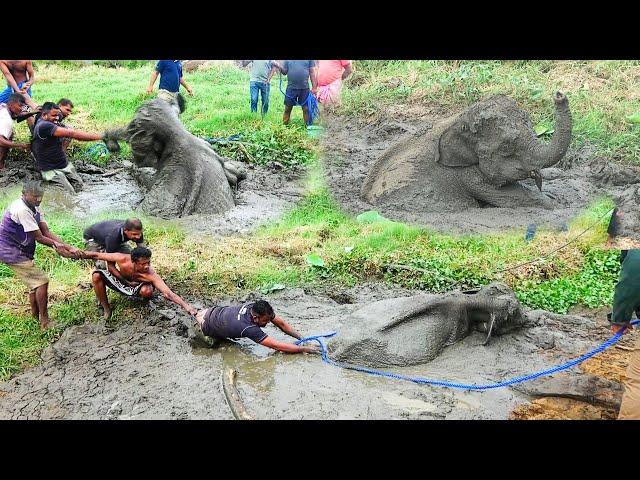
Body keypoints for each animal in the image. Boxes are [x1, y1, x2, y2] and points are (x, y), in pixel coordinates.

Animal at [362, 93, 572, 211]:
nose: (559, 95)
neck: (458, 121)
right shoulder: (465, 174)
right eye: (506, 148)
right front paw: (553, 203)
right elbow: (509, 194)